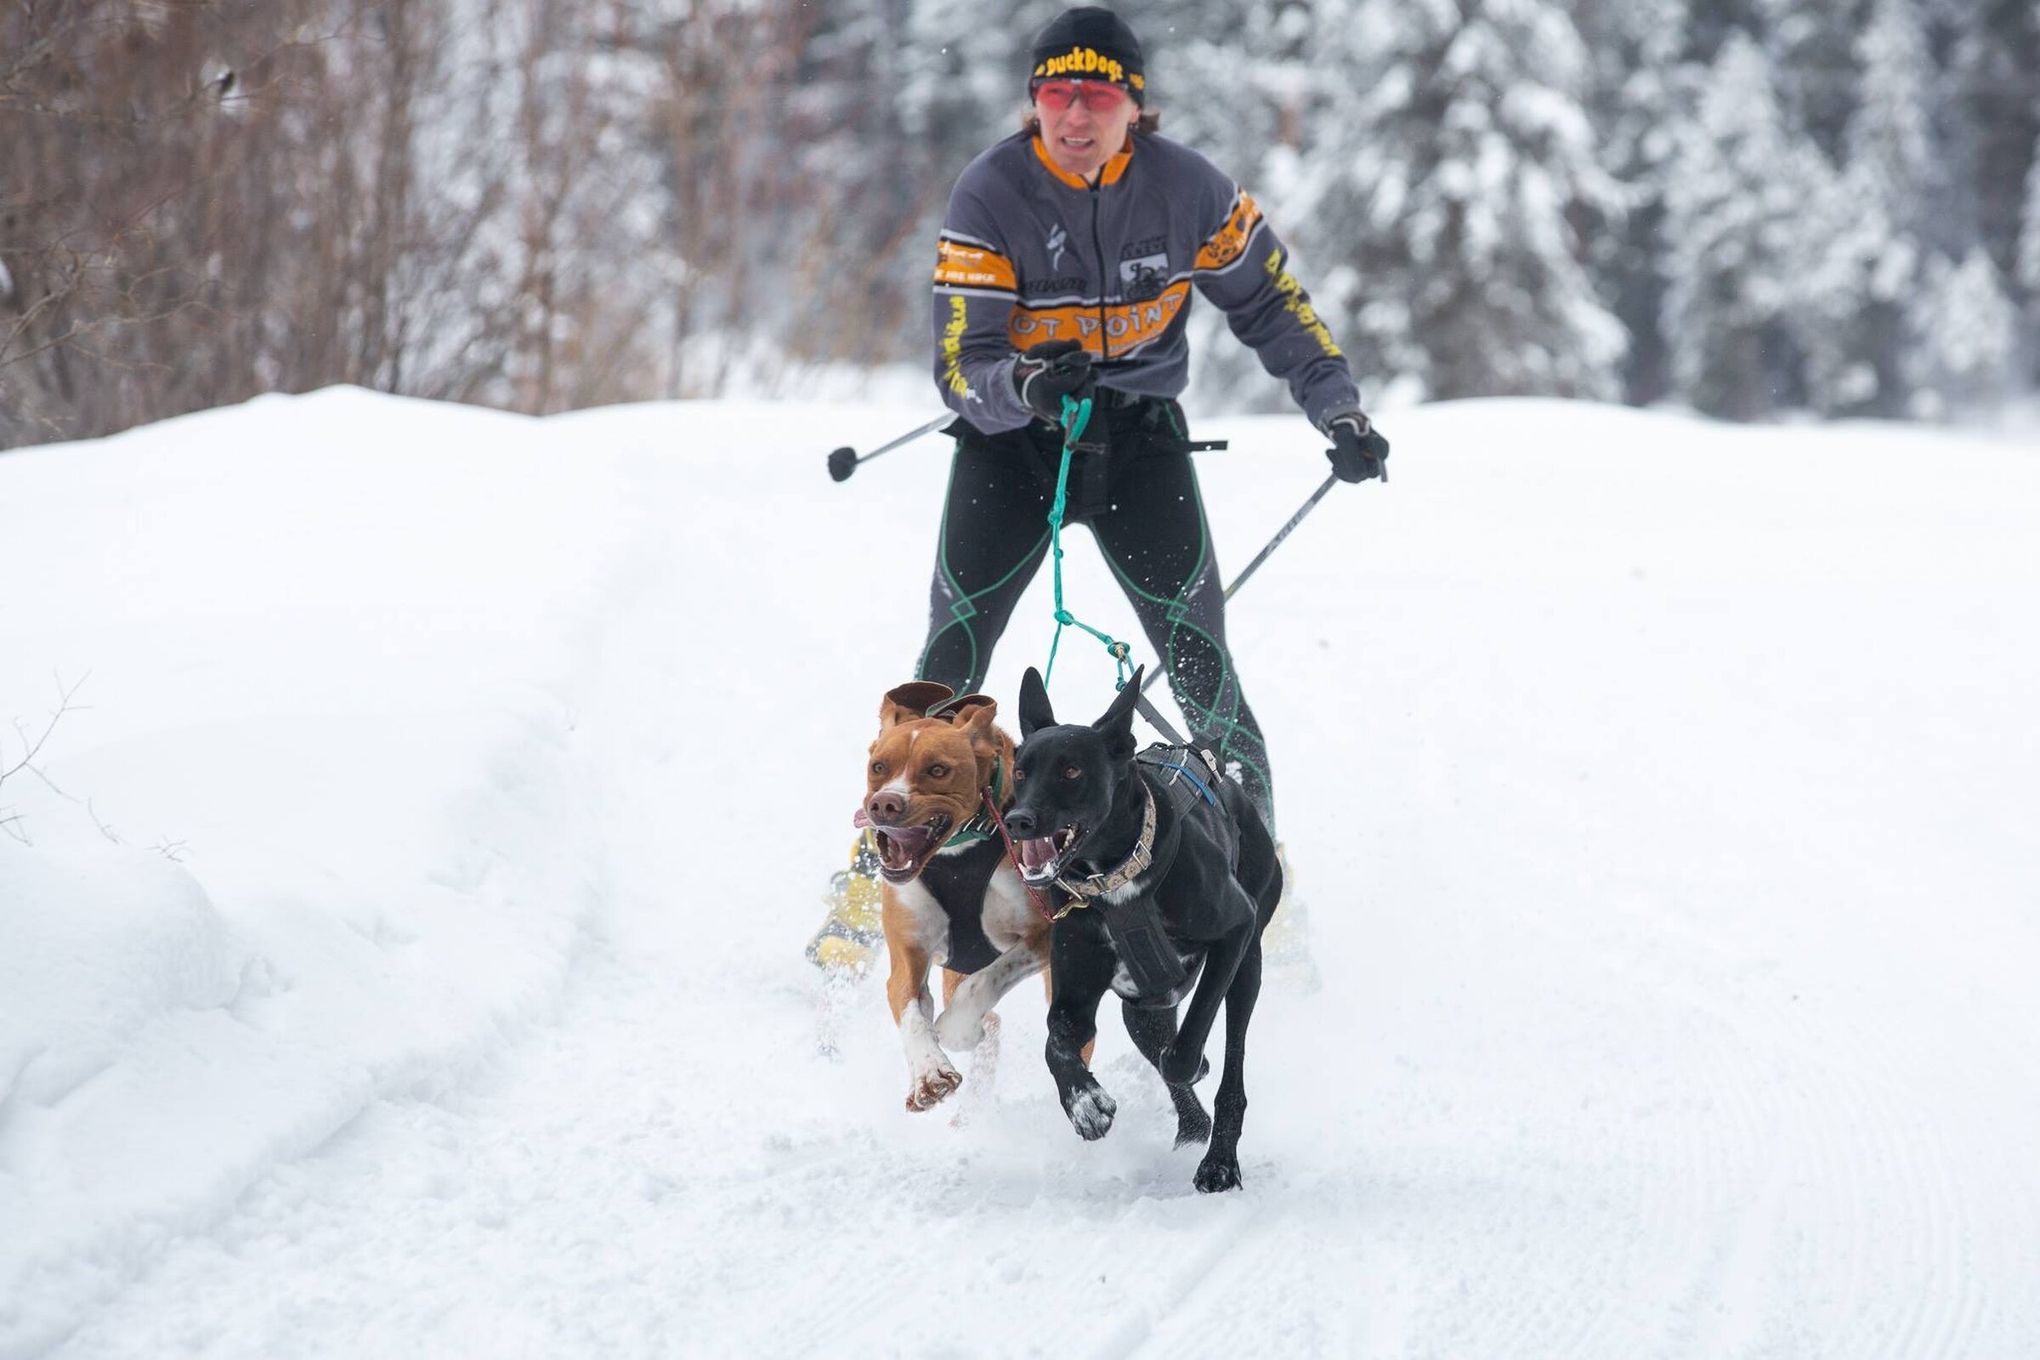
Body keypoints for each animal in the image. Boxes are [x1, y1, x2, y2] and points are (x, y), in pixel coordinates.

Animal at [860, 685, 1052, 1109]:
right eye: (879, 766)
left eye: (937, 769)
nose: (884, 803)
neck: (956, 857)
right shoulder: (908, 953)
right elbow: (913, 1014)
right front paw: (929, 1073)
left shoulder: (1044, 935)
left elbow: (985, 982)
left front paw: (956, 1031)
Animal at [999, 668, 1272, 1190]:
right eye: (1021, 772)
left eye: (1071, 771)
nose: (1018, 820)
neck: (1117, 879)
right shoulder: (1075, 994)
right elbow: (1056, 1042)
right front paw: (1085, 1105)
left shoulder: (1234, 930)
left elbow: (1188, 1044)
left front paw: (1191, 1062)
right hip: (1142, 1011)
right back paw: (1192, 1131)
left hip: (1247, 962)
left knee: (1230, 1067)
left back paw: (1218, 1161)